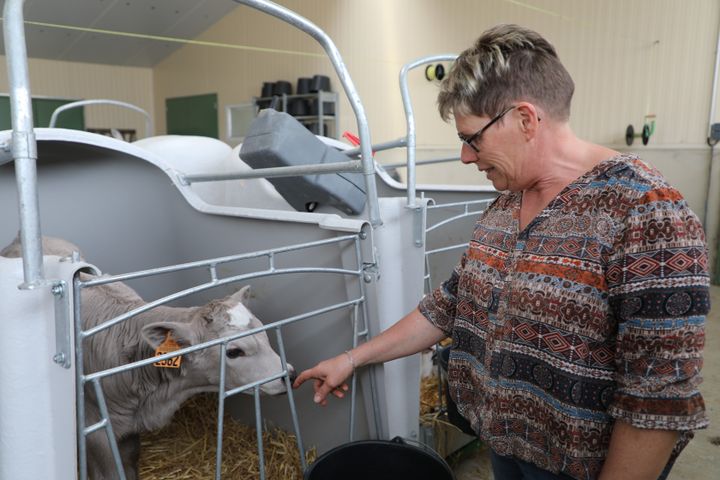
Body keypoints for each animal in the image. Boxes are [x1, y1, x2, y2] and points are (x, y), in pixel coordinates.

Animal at [0, 236, 292, 480]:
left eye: (264, 332)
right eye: (234, 351)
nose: (288, 375)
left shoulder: (131, 430)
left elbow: (130, 463)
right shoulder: (95, 431)